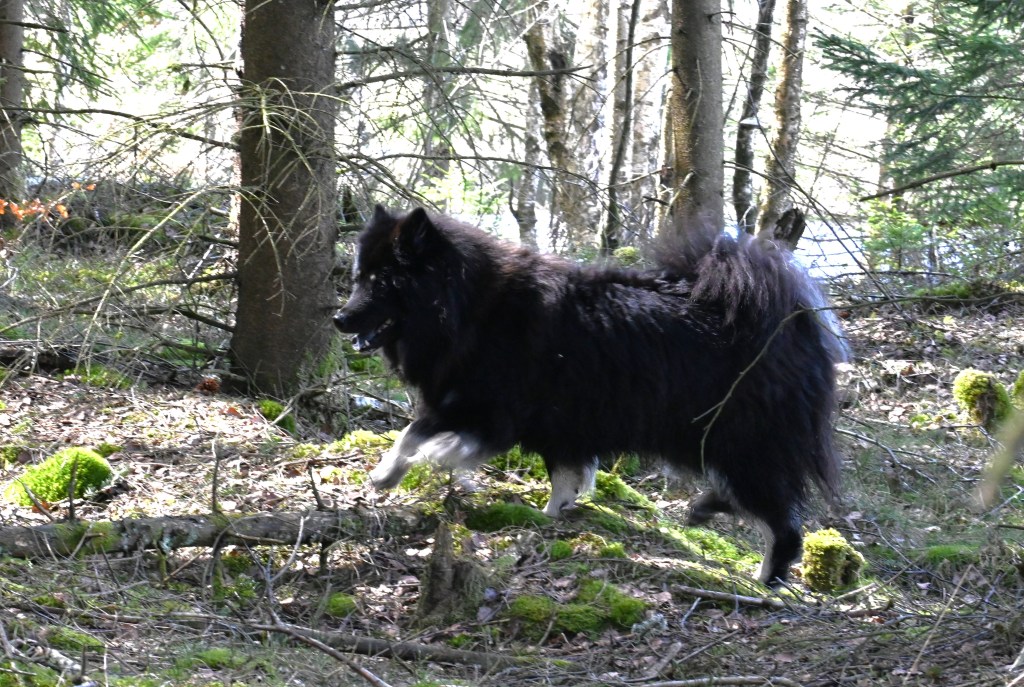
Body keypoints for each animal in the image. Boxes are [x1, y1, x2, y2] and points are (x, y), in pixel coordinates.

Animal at [334, 205, 846, 585]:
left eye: (382, 283)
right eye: (358, 277)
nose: (339, 318)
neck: (472, 306)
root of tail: (792, 327)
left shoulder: (490, 409)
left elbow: (425, 436)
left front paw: (414, 465)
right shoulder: (545, 420)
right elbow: (559, 473)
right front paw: (551, 514)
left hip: (741, 442)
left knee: (783, 522)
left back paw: (766, 578)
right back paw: (707, 512)